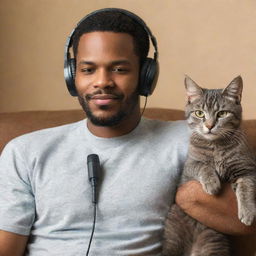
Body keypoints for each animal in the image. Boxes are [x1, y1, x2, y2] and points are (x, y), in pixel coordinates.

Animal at [163, 75, 255, 255]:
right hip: (172, 237)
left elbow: (246, 187)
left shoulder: (246, 168)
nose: (209, 126)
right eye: (199, 113)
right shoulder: (189, 166)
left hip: (214, 242)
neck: (215, 145)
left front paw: (248, 212)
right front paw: (212, 184)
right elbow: (203, 166)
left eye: (222, 113)